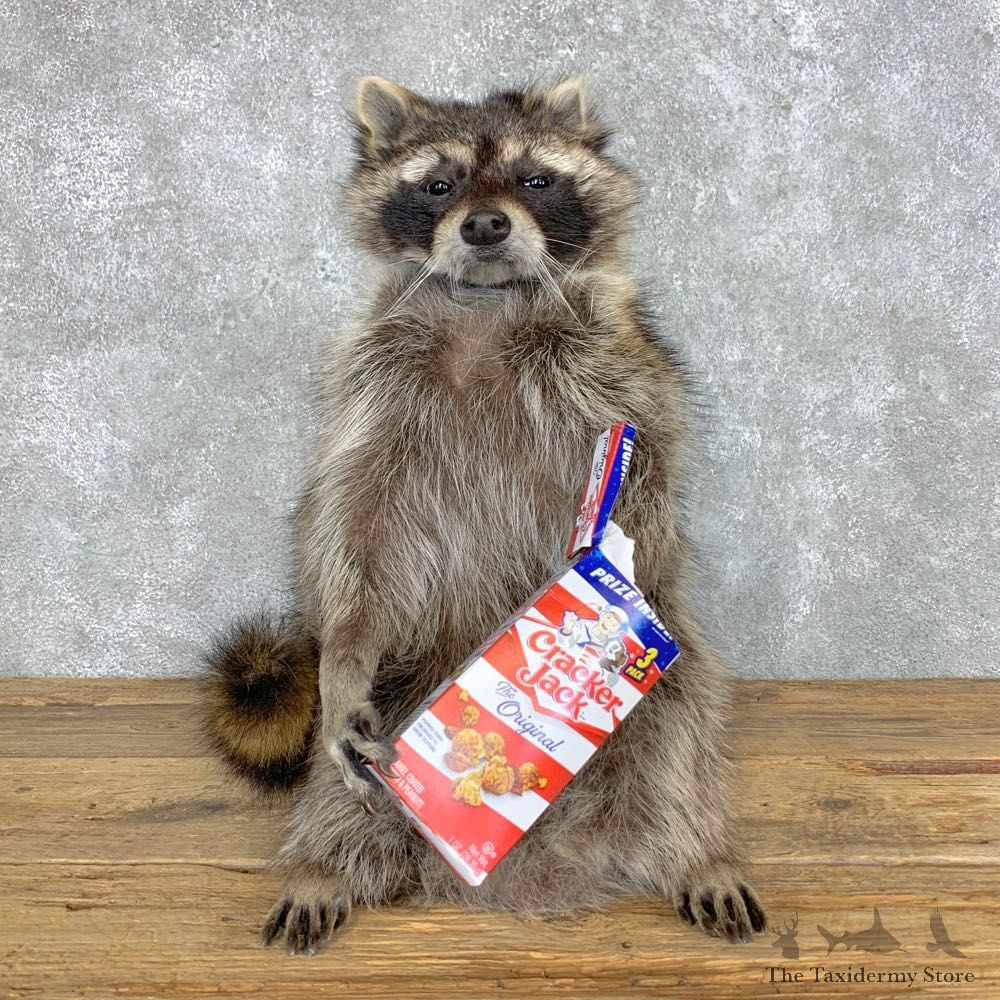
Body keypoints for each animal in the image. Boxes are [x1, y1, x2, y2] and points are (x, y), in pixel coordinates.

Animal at [202, 77, 766, 954]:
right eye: (439, 185)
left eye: (535, 178)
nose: (485, 224)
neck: (487, 305)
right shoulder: (372, 393)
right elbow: (353, 528)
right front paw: (344, 651)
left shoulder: (625, 373)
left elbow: (650, 492)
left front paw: (609, 563)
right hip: (401, 684)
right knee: (338, 780)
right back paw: (326, 861)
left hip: (675, 682)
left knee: (682, 731)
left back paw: (697, 849)